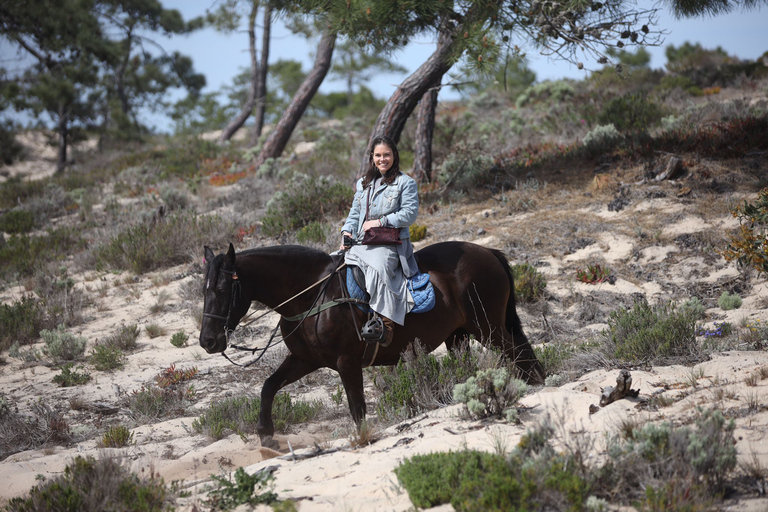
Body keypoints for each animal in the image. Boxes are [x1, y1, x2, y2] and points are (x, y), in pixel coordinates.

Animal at [201, 242, 544, 446]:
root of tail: (487, 252)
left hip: (488, 329)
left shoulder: (347, 363)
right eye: (203, 290)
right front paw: (266, 435)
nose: (208, 341)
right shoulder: (304, 360)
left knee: (522, 357)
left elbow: (357, 409)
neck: (313, 297)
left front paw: (363, 438)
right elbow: (269, 386)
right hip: (459, 337)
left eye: (222, 289)